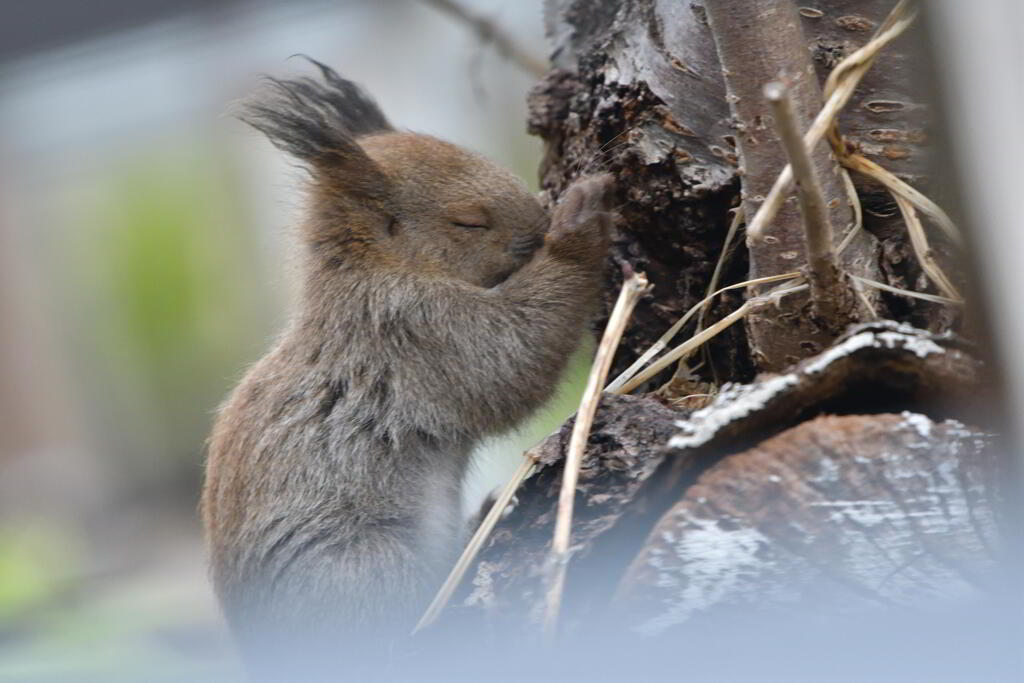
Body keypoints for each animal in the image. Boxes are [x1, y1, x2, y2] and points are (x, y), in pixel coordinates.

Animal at [203, 60, 610, 671]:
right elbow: (510, 356)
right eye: (468, 222)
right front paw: (579, 225)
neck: (377, 271)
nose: (539, 225)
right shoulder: (414, 330)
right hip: (363, 567)